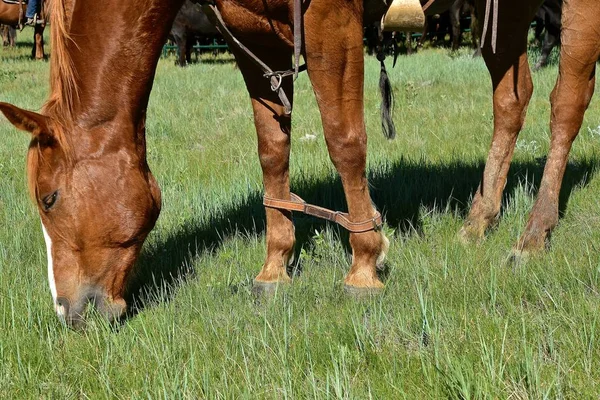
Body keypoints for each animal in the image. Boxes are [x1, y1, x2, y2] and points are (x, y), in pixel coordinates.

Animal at [0, 0, 596, 324]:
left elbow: (344, 140)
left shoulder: (331, 18)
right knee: (510, 98)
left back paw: (534, 232)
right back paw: (479, 220)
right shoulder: (254, 37)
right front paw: (275, 265)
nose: (68, 310)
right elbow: (272, 150)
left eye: (49, 199)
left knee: (566, 103)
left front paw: (364, 264)